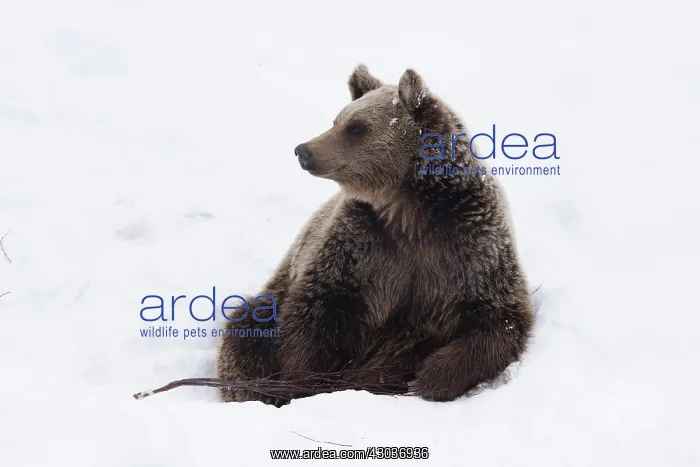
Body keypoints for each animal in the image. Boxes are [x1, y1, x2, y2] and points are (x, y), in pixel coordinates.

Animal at [216, 65, 534, 406]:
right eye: (337, 120)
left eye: (355, 127)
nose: (304, 150)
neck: (408, 213)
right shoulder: (361, 247)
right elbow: (318, 310)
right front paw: (302, 380)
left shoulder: (470, 245)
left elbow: (498, 319)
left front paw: (432, 377)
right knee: (248, 327)